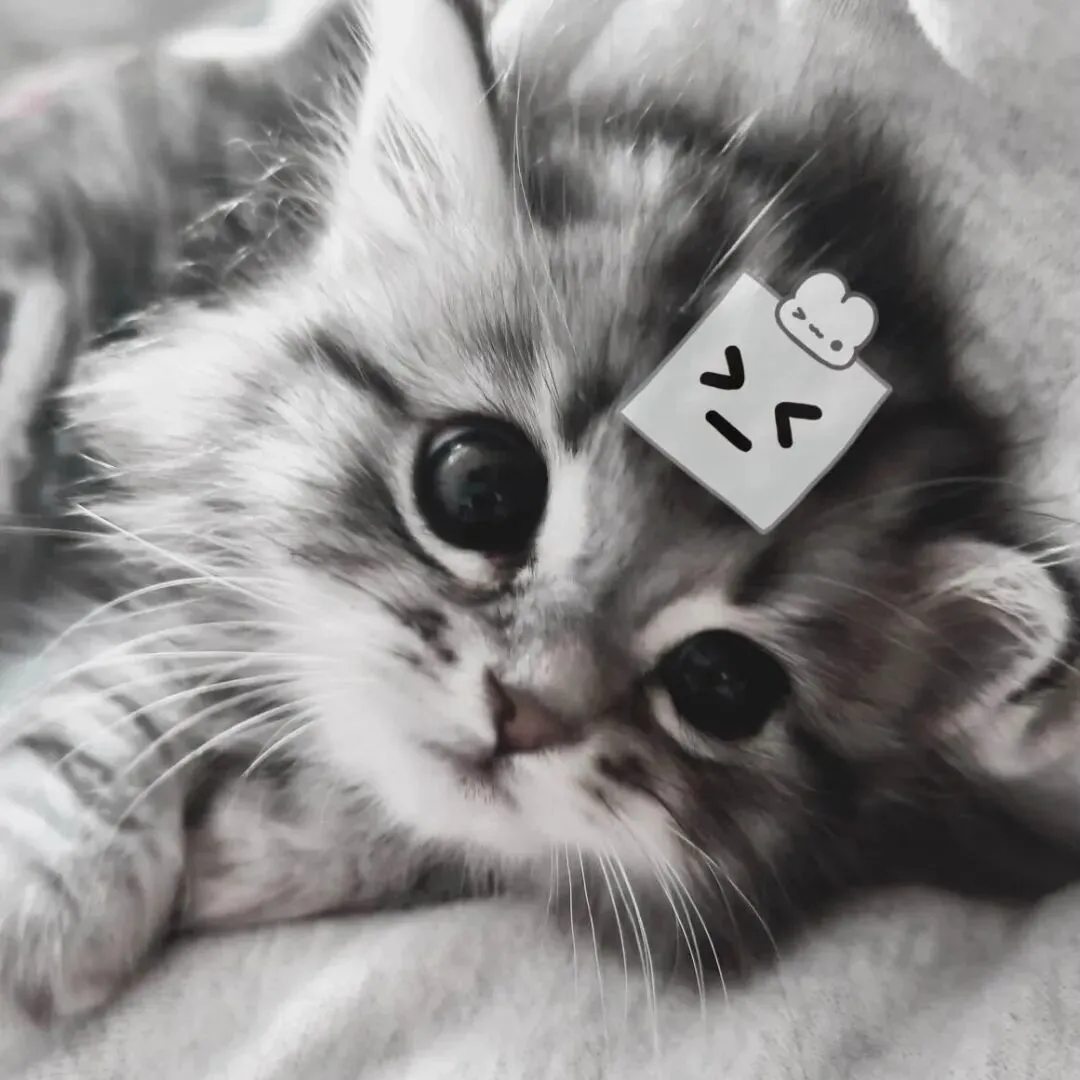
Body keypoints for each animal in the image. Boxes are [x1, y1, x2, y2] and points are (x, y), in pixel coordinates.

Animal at [0, 0, 1079, 1026]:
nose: (525, 712)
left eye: (721, 684)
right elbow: (132, 669)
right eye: (480, 489)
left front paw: (261, 847)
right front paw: (52, 896)